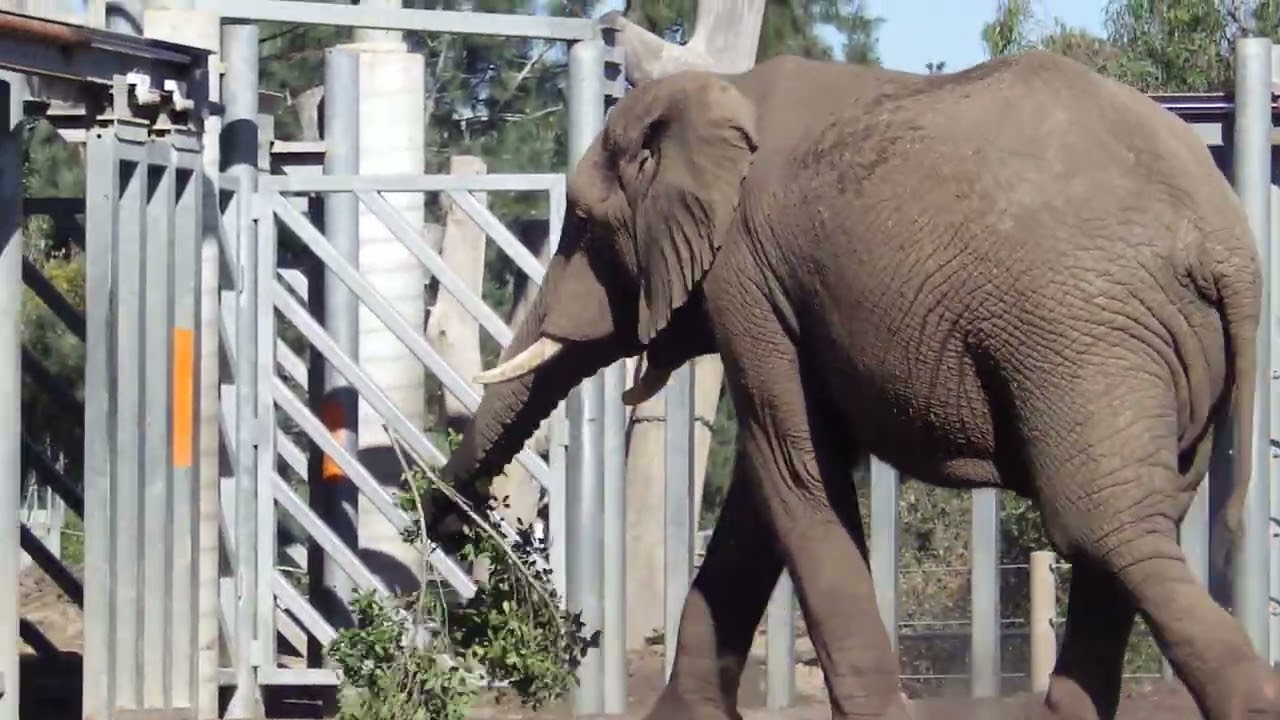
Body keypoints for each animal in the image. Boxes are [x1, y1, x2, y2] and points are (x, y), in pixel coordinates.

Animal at [441, 48, 1269, 720]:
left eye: (582, 223)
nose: (446, 527)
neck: (718, 92)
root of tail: (1226, 244)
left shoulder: (747, 276)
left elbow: (794, 468)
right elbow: (767, 491)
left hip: (1082, 336)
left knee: (1105, 528)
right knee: (1131, 529)